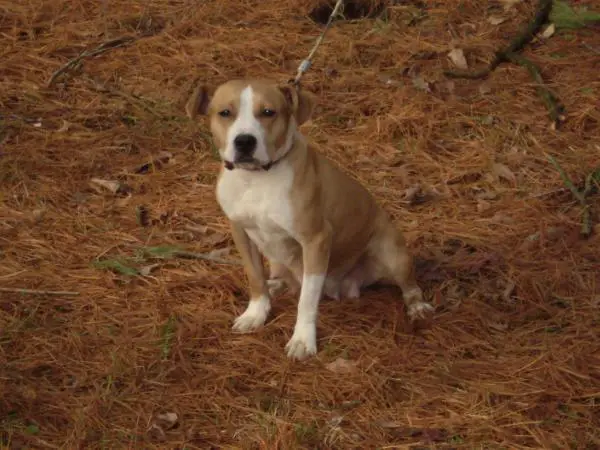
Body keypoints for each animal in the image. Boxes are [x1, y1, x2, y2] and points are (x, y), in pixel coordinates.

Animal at [185, 77, 434, 358]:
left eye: (268, 112)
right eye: (225, 113)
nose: (245, 141)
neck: (256, 179)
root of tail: (346, 285)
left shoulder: (316, 240)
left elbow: (307, 300)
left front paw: (303, 339)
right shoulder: (241, 232)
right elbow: (254, 276)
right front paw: (256, 313)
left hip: (392, 253)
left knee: (410, 285)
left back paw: (417, 308)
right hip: (276, 257)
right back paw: (276, 285)